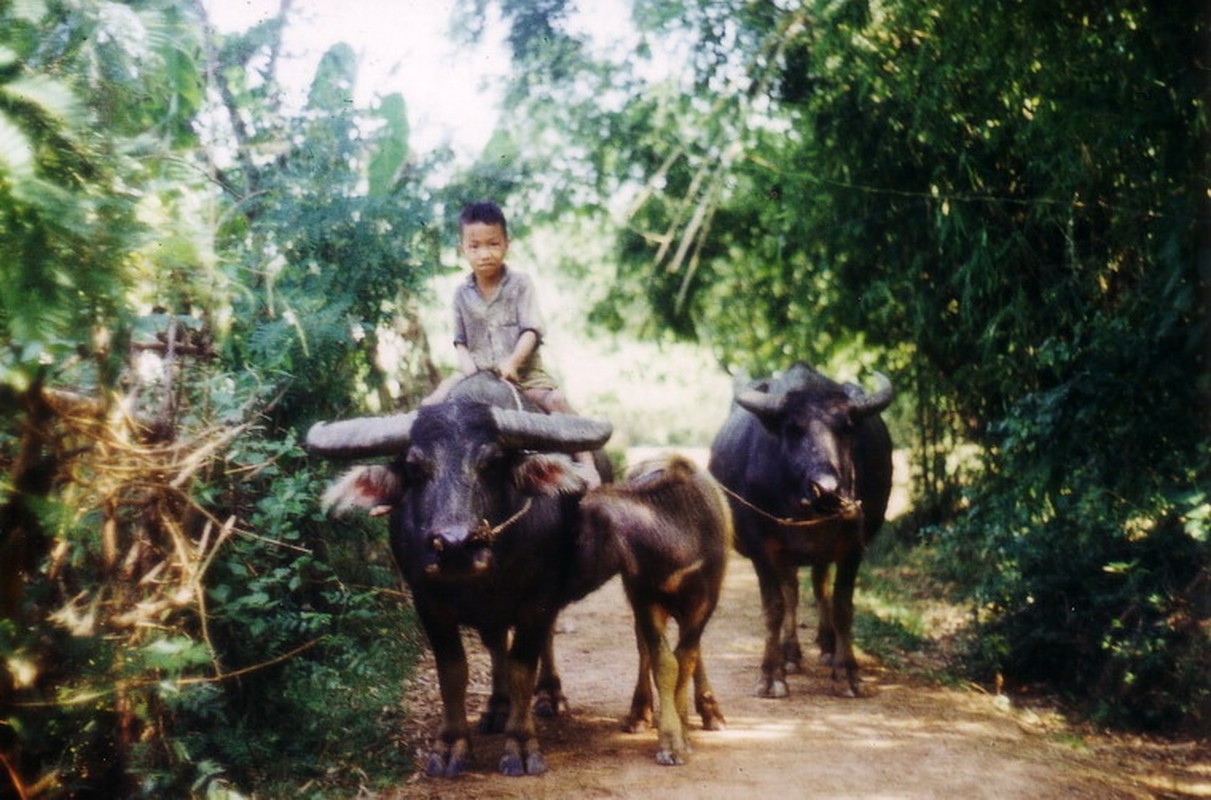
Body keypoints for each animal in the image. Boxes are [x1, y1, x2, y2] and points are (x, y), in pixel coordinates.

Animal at [307, 372, 610, 774]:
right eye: (415, 466)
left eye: (493, 462)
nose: (454, 544)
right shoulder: (427, 601)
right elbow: (453, 670)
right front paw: (451, 745)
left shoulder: (539, 597)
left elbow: (522, 666)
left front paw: (521, 744)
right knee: (496, 644)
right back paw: (496, 707)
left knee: (542, 640)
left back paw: (549, 696)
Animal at [571, 455, 731, 760]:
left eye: (572, 538)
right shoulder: (644, 597)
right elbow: (664, 662)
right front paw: (671, 740)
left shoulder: (705, 600)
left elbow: (685, 659)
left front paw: (683, 728)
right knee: (644, 647)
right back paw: (639, 714)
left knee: (692, 651)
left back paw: (711, 712)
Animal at [707, 365, 896, 697]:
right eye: (793, 428)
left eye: (846, 427)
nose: (827, 489)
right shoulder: (763, 550)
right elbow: (774, 608)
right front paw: (771, 675)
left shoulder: (853, 548)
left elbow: (842, 606)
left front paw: (847, 672)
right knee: (792, 593)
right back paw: (791, 654)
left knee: (819, 588)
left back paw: (827, 647)